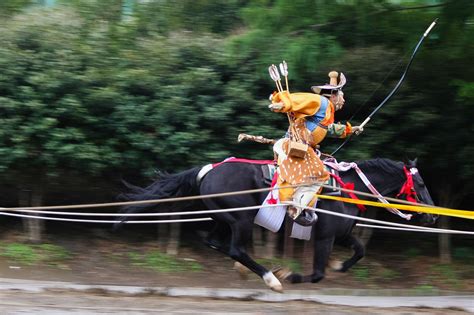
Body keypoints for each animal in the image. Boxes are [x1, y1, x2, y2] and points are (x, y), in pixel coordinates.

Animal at [117, 159, 436, 292]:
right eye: (420, 183)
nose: (432, 215)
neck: (346, 188)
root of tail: (207, 170)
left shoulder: (342, 234)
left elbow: (359, 252)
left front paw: (339, 266)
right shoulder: (325, 237)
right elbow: (317, 274)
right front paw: (292, 275)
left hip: (224, 218)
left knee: (217, 243)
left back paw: (249, 271)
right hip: (242, 219)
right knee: (234, 248)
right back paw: (272, 278)